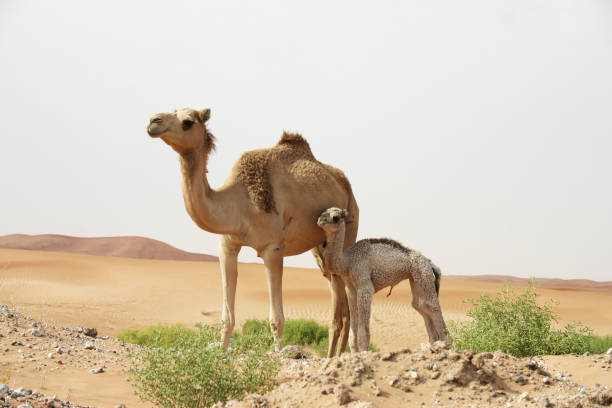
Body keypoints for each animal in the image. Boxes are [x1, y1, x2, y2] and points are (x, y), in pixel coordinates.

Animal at [148, 107, 358, 356]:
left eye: (188, 121)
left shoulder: (272, 249)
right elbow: (227, 318)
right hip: (321, 250)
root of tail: (346, 185)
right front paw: (221, 353)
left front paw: (278, 354)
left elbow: (276, 319)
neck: (240, 201)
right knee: (337, 296)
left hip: (350, 226)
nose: (153, 121)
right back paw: (335, 355)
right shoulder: (227, 245)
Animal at [318, 207, 448, 350]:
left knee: (432, 305)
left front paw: (364, 352)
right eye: (324, 212)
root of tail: (430, 263)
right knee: (421, 305)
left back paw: (446, 344)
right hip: (415, 277)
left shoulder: (364, 285)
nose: (320, 220)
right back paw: (434, 344)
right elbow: (353, 335)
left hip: (423, 274)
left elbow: (363, 333)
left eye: (335, 217)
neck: (347, 262)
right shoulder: (351, 288)